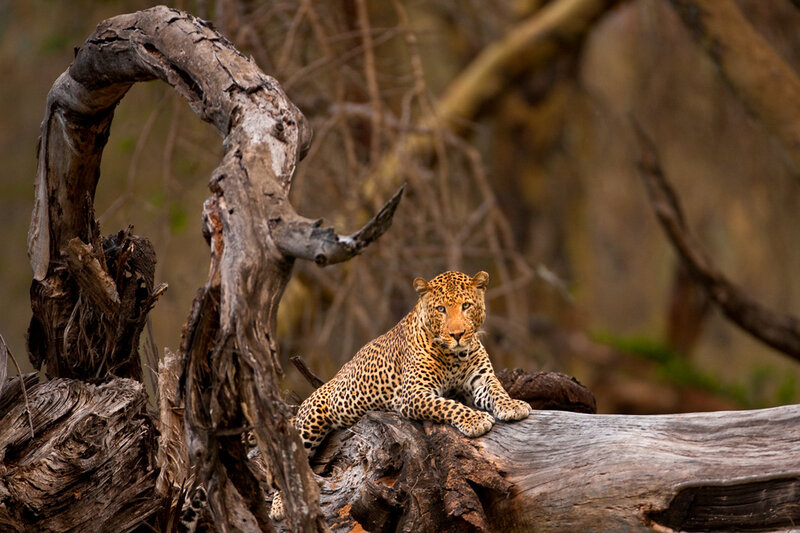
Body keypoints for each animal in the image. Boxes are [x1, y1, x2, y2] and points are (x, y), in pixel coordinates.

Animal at [270, 270, 531, 520]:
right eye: (441, 309)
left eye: (466, 305)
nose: (457, 334)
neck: (455, 356)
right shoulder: (414, 394)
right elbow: (447, 405)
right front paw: (475, 419)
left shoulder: (481, 379)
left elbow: (497, 390)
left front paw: (512, 405)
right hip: (310, 422)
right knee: (285, 463)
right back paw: (281, 505)